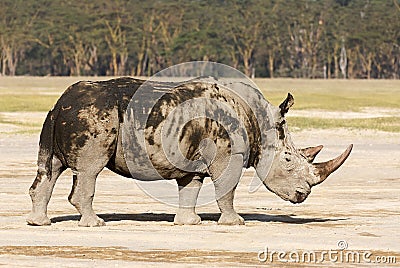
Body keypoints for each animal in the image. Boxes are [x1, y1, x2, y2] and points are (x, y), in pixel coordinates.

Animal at [26, 77, 352, 226]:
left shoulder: (192, 156)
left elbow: (190, 188)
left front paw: (189, 223)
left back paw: (39, 223)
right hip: (94, 115)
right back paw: (96, 224)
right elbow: (226, 188)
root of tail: (62, 100)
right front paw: (235, 222)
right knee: (90, 170)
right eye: (287, 160)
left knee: (49, 169)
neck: (260, 122)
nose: (302, 195)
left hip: (59, 115)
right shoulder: (229, 155)